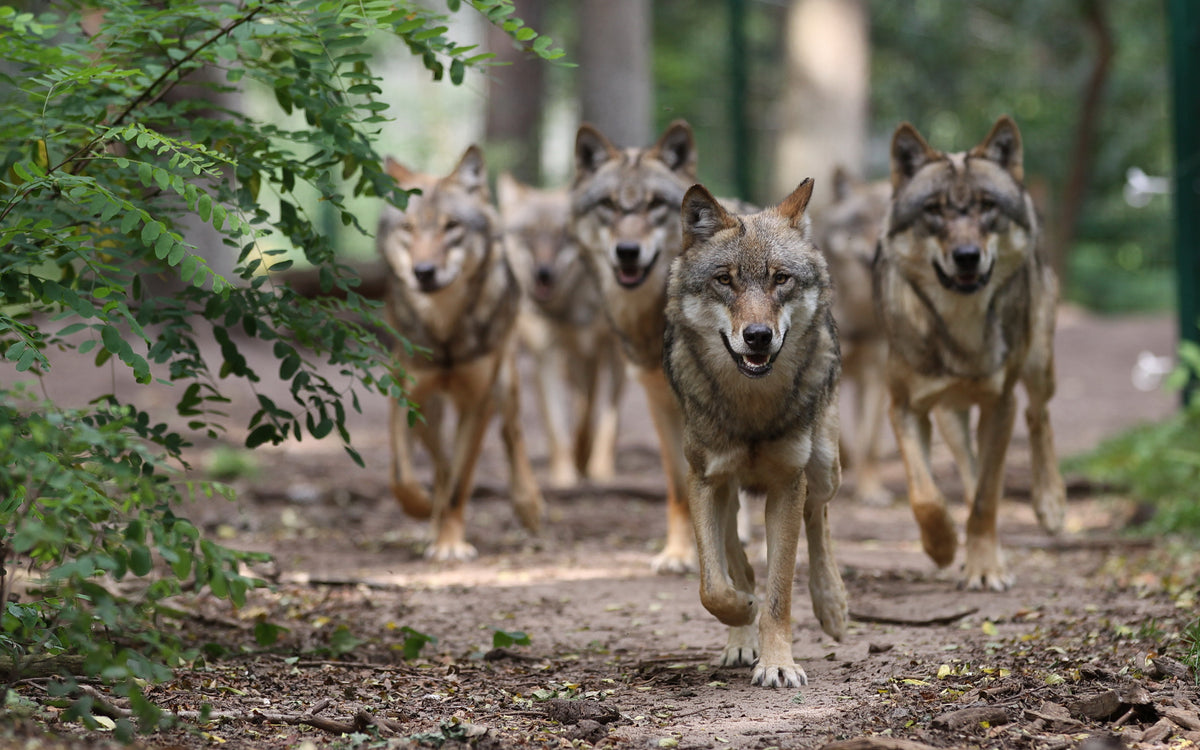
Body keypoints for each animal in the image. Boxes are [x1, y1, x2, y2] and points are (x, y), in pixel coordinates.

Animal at [377, 146, 543, 561]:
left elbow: (459, 484)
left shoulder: (477, 403)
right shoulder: (406, 395)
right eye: (409, 228)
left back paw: (528, 504)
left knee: (512, 432)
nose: (423, 271)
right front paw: (424, 511)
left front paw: (450, 544)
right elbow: (404, 476)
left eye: (451, 227)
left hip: (505, 382)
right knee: (440, 461)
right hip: (431, 408)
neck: (445, 332)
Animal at [497, 173, 626, 487]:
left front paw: (600, 470)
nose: (543, 274)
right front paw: (565, 475)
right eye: (528, 234)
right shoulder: (547, 354)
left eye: (561, 235)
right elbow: (557, 427)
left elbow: (605, 418)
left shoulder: (614, 352)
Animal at [570, 120, 702, 573]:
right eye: (609, 205)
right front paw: (679, 555)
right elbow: (680, 489)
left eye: (654, 205)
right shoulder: (659, 403)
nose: (627, 252)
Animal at [664, 178, 847, 687]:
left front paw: (778, 663)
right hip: (727, 490)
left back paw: (832, 604)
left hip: (823, 466)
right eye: (724, 280)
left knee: (820, 516)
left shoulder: (787, 483)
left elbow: (780, 590)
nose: (759, 336)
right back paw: (741, 637)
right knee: (736, 557)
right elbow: (713, 586)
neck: (751, 407)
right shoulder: (706, 481)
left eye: (780, 279)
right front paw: (744, 615)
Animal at [873, 115, 1066, 590]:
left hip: (1037, 365)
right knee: (968, 466)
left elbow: (985, 500)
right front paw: (942, 546)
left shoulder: (1000, 405)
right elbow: (925, 495)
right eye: (934, 210)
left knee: (1037, 415)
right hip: (949, 416)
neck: (960, 329)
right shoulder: (904, 408)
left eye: (986, 206)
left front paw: (984, 569)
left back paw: (1050, 504)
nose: (966, 257)